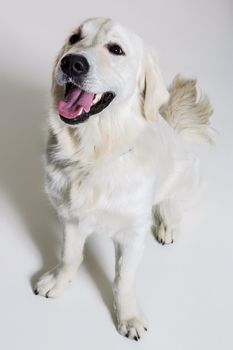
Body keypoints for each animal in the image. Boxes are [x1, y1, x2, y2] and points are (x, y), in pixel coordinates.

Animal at [33, 17, 213, 342]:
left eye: (116, 49)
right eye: (74, 38)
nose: (72, 63)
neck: (94, 154)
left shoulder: (132, 233)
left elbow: (123, 280)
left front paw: (128, 317)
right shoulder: (71, 218)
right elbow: (69, 256)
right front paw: (58, 281)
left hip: (187, 174)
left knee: (172, 203)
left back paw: (168, 224)